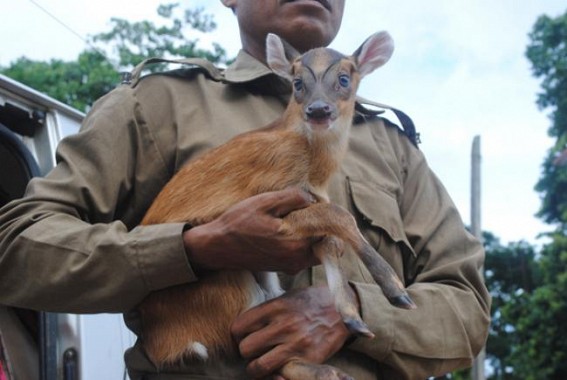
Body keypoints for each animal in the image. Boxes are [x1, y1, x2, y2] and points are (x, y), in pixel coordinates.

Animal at [136, 30, 418, 380]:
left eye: (344, 79)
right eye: (297, 83)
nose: (318, 110)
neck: (312, 166)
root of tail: (164, 345)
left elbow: (331, 240)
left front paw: (353, 317)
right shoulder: (264, 198)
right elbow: (340, 216)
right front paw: (396, 290)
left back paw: (331, 370)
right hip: (225, 285)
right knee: (245, 350)